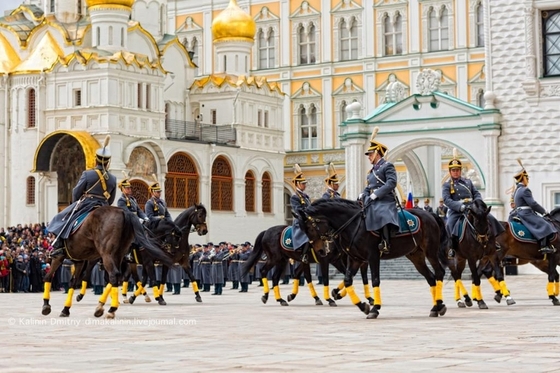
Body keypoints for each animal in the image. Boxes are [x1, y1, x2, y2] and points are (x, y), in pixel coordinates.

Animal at [300, 199, 448, 318]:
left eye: (310, 228)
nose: (320, 251)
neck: (354, 225)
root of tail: (430, 215)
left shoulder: (372, 257)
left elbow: (375, 281)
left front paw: (375, 308)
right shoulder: (355, 259)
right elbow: (348, 280)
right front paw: (362, 306)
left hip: (430, 252)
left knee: (439, 272)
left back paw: (439, 304)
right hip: (416, 256)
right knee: (430, 277)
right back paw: (436, 307)